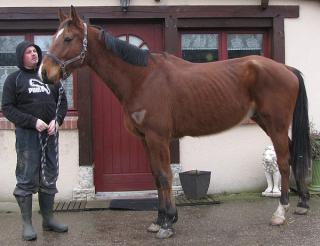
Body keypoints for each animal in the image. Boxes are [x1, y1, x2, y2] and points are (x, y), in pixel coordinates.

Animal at [40, 5, 310, 239]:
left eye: (68, 38)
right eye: (53, 36)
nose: (45, 72)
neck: (142, 78)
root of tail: (287, 69)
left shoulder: (158, 138)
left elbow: (164, 176)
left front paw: (168, 223)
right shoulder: (145, 139)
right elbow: (155, 176)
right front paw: (159, 220)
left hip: (275, 125)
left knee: (283, 162)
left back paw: (280, 213)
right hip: (266, 122)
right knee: (294, 153)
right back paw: (303, 203)